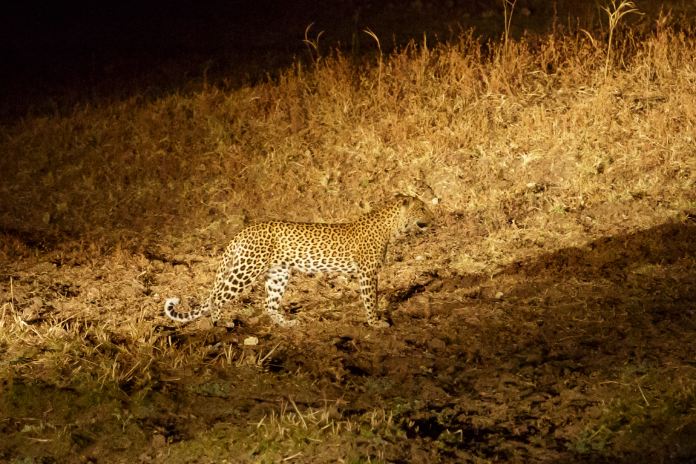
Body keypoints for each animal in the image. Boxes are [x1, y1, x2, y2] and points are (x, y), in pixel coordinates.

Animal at [165, 194, 432, 328]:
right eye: (422, 209)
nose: (433, 215)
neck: (392, 227)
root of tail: (242, 232)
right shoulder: (367, 272)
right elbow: (370, 299)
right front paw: (375, 323)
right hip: (247, 268)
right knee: (217, 297)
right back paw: (219, 324)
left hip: (278, 273)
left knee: (268, 304)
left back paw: (287, 324)